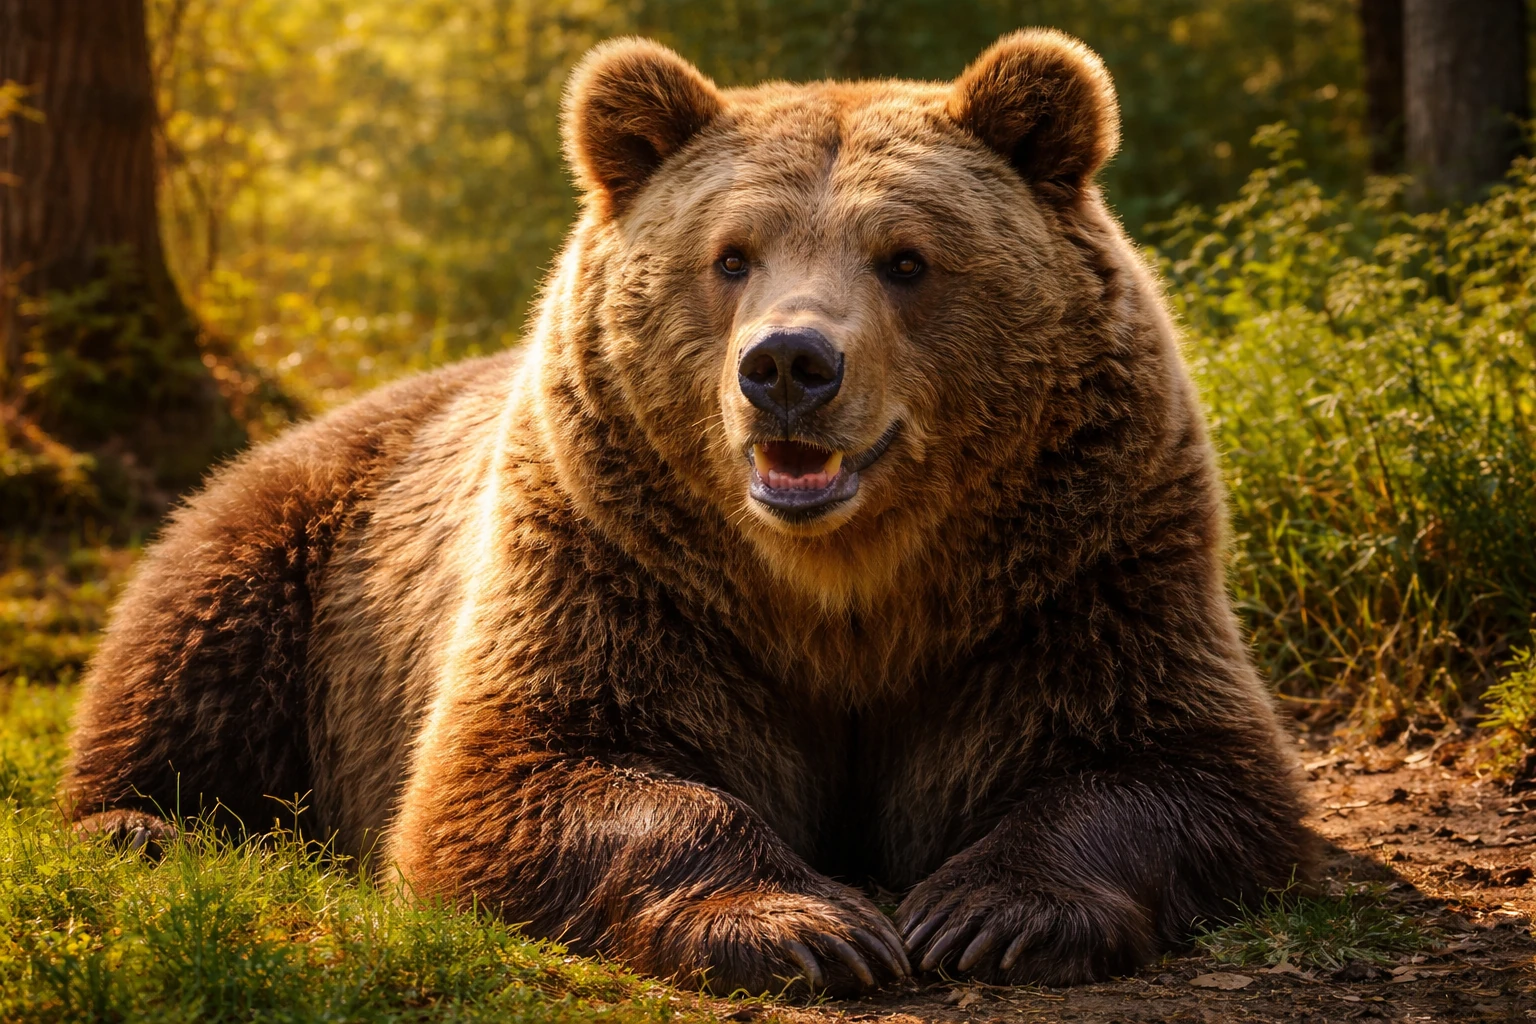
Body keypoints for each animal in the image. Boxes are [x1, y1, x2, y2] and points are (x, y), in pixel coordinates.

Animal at [63, 30, 1310, 996]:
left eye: (906, 258)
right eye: (733, 254)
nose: (790, 364)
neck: (843, 580)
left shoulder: (1076, 569)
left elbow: (1171, 760)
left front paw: (989, 912)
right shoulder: (624, 565)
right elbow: (541, 762)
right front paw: (808, 926)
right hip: (304, 542)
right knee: (185, 648)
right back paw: (136, 822)